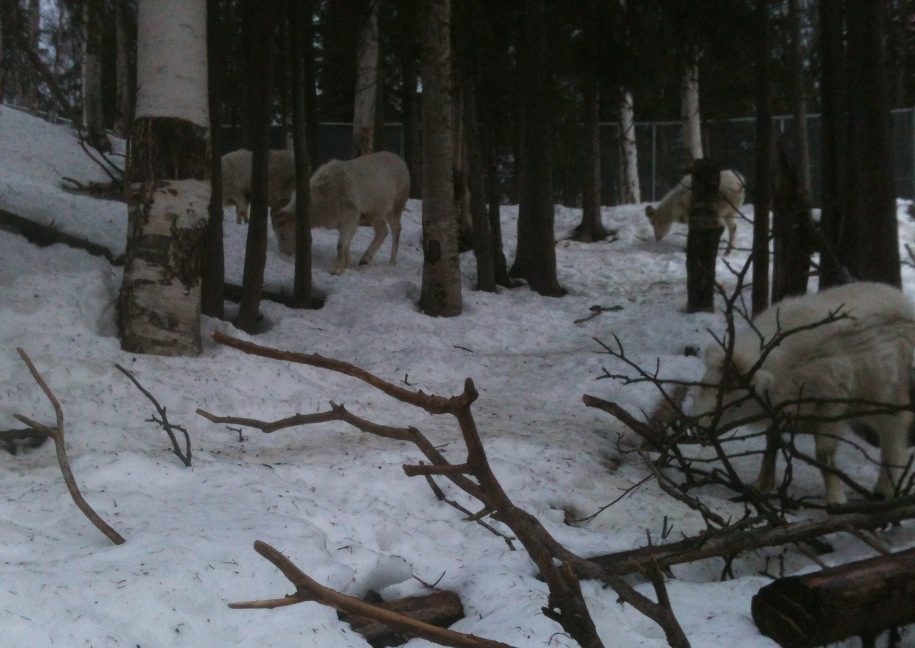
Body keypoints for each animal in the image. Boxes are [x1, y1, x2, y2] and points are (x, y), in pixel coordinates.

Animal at [271, 151, 410, 275]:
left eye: (282, 234)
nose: (284, 253)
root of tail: (400, 161)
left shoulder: (348, 221)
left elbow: (340, 245)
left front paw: (336, 270)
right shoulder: (346, 224)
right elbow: (346, 245)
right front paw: (347, 265)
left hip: (394, 210)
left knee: (396, 231)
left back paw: (391, 263)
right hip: (376, 216)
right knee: (382, 232)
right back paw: (364, 260)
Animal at [690, 282, 915, 504]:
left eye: (737, 403)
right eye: (704, 386)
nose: (700, 429)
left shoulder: (831, 404)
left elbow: (824, 454)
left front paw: (836, 499)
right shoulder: (778, 410)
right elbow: (771, 445)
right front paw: (760, 486)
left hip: (890, 396)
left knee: (894, 437)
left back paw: (885, 490)